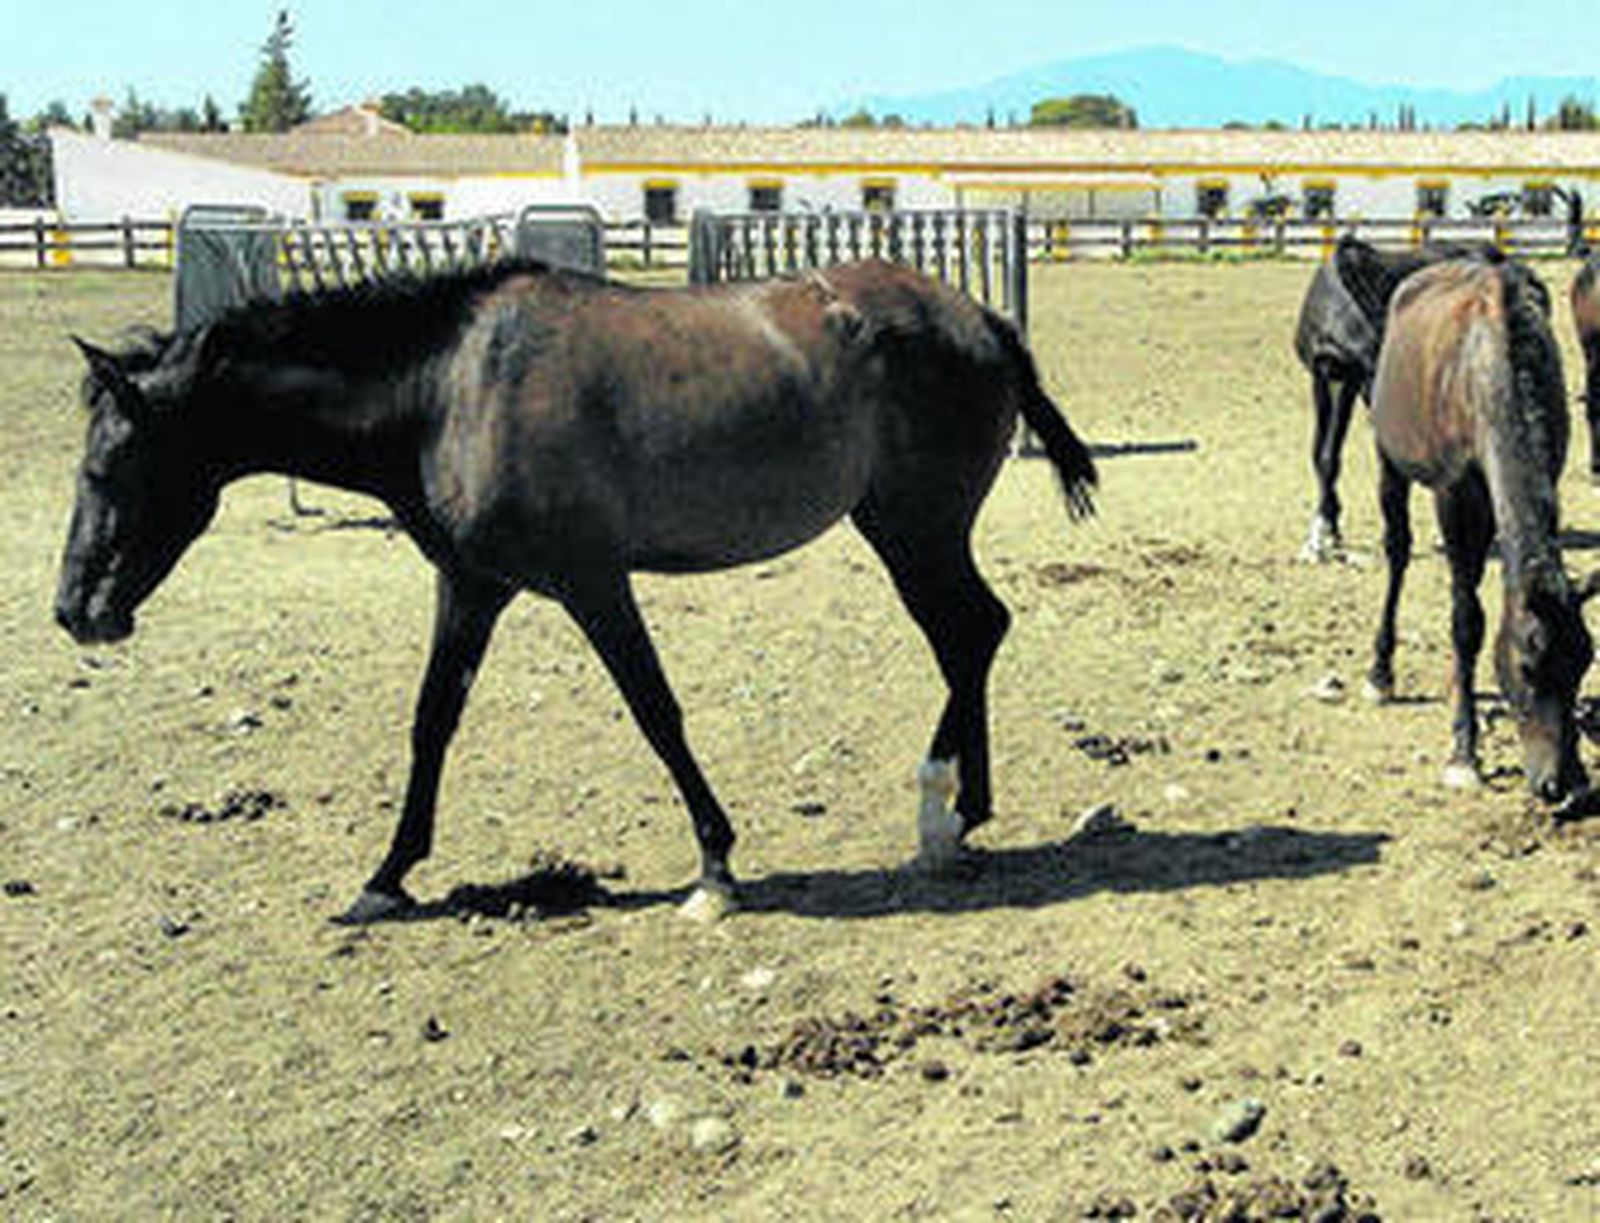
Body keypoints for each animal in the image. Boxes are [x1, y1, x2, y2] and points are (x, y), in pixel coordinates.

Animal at [53, 257, 1099, 923]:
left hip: (914, 530)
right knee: (973, 633)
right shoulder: (471, 586)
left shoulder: (593, 583)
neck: (449, 388)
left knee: (969, 633)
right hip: (909, 531)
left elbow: (655, 710)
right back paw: (962, 815)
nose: (75, 612)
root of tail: (983, 320)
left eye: (107, 469)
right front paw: (387, 876)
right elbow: (431, 721)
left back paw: (940, 810)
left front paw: (716, 863)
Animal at [1360, 257, 1597, 801]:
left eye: (1585, 661)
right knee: (1398, 551)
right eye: (1528, 665)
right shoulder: (1454, 495)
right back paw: (1381, 673)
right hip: (1389, 462)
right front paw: (1463, 751)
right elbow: (1466, 619)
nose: (1561, 783)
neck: (1487, 367)